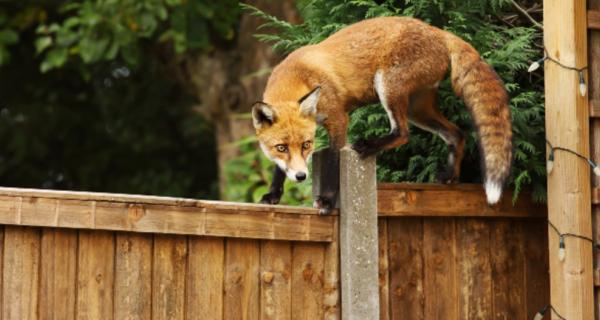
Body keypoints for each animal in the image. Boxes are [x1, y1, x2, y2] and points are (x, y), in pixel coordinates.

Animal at [252, 16, 510, 214]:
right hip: (418, 110)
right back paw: (450, 176)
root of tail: (439, 31)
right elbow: (279, 168)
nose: (301, 176)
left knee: (403, 133)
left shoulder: (339, 119)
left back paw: (369, 145)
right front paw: (273, 195)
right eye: (281, 147)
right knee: (456, 133)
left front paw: (327, 200)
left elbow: (334, 163)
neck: (299, 75)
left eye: (307, 145)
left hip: (388, 87)